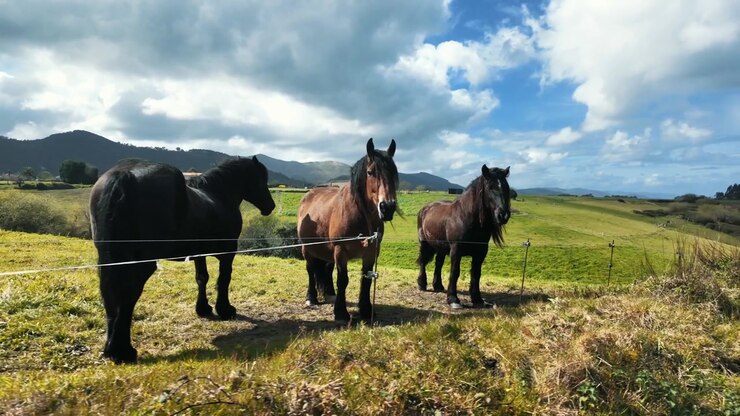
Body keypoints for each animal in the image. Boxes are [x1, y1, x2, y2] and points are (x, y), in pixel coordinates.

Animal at [89, 156, 275, 363]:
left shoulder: (198, 253)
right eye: (261, 178)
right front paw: (225, 310)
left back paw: (112, 348)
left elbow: (202, 278)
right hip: (142, 262)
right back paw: (123, 351)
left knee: (110, 293)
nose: (270, 206)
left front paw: (203, 309)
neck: (218, 196)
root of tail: (124, 176)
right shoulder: (228, 252)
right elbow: (224, 279)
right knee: (129, 292)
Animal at [297, 138, 398, 323]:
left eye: (394, 172)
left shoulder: (371, 251)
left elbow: (366, 279)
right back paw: (311, 298)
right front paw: (341, 313)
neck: (359, 216)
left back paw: (330, 294)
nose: (387, 207)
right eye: (370, 172)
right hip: (307, 248)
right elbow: (343, 280)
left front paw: (366, 310)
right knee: (311, 269)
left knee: (327, 269)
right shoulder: (340, 250)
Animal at [416, 164, 511, 308]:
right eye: (490, 187)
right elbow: (455, 272)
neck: (465, 217)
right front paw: (453, 299)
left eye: (506, 187)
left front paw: (477, 299)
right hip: (424, 243)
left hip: (441, 247)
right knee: (423, 261)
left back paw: (438, 286)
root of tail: (425, 208)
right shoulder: (456, 250)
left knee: (438, 263)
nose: (503, 215)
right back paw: (422, 284)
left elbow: (476, 274)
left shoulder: (481, 252)